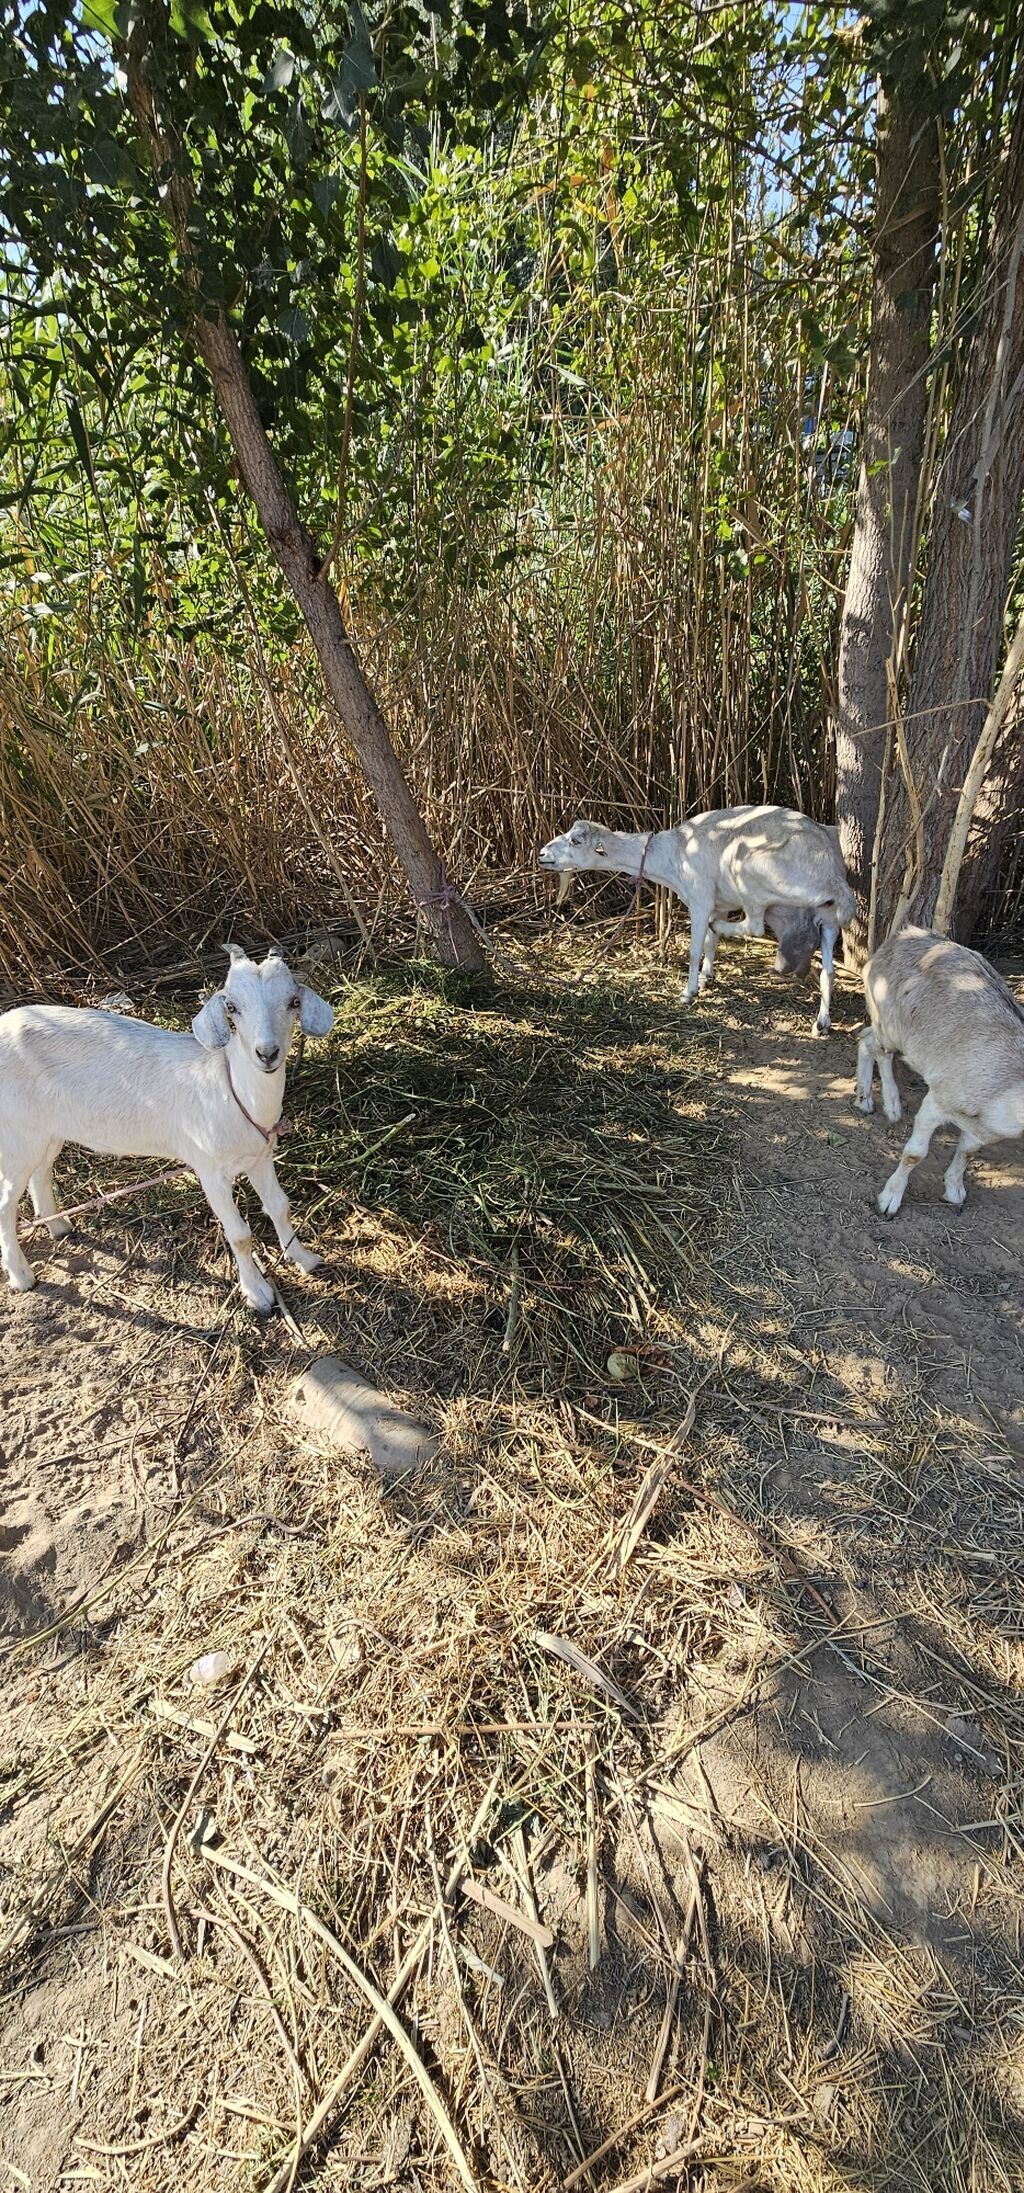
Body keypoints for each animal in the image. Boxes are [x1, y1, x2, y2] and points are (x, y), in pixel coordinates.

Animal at [0, 947, 334, 1312]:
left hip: (45, 1132)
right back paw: (21, 1275)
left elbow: (279, 1206)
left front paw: (305, 1259)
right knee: (5, 1204)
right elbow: (240, 1235)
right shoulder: (210, 1170)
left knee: (40, 1173)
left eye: (293, 1001)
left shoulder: (260, 1156)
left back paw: (59, 1226)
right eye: (232, 1006)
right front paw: (257, 1294)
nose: (267, 1053)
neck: (231, 1088)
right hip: (16, 1136)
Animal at [538, 806, 855, 1032]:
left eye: (576, 840)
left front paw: (689, 992)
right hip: (828, 920)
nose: (541, 854)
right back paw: (822, 1022)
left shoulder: (701, 900)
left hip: (750, 873)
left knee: (754, 924)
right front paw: (706, 976)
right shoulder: (719, 903)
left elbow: (695, 948)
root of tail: (831, 876)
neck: (673, 853)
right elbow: (710, 944)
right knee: (829, 970)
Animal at [854, 927, 1024, 1214]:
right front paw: (888, 1202)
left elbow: (967, 1152)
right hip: (888, 1021)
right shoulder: (938, 1100)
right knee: (878, 1048)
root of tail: (903, 934)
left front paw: (954, 1191)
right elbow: (915, 1153)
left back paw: (864, 1100)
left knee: (864, 1038)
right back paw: (892, 1107)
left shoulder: (983, 1129)